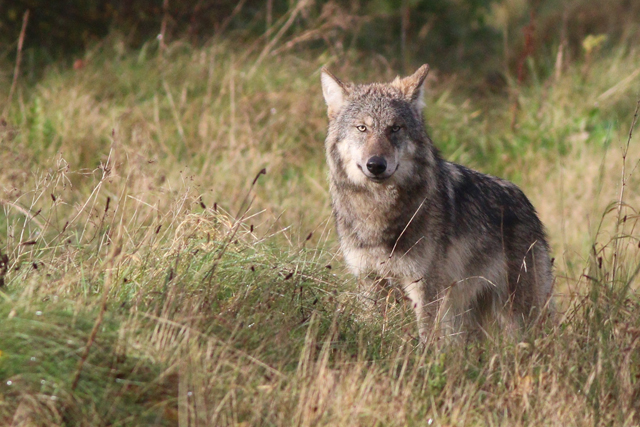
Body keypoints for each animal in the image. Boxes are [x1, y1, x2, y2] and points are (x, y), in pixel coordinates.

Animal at [321, 64, 553, 341]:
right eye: (362, 128)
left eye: (395, 128)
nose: (376, 165)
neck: (378, 212)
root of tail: (527, 203)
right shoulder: (370, 281)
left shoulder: (425, 287)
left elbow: (427, 338)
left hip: (516, 315)